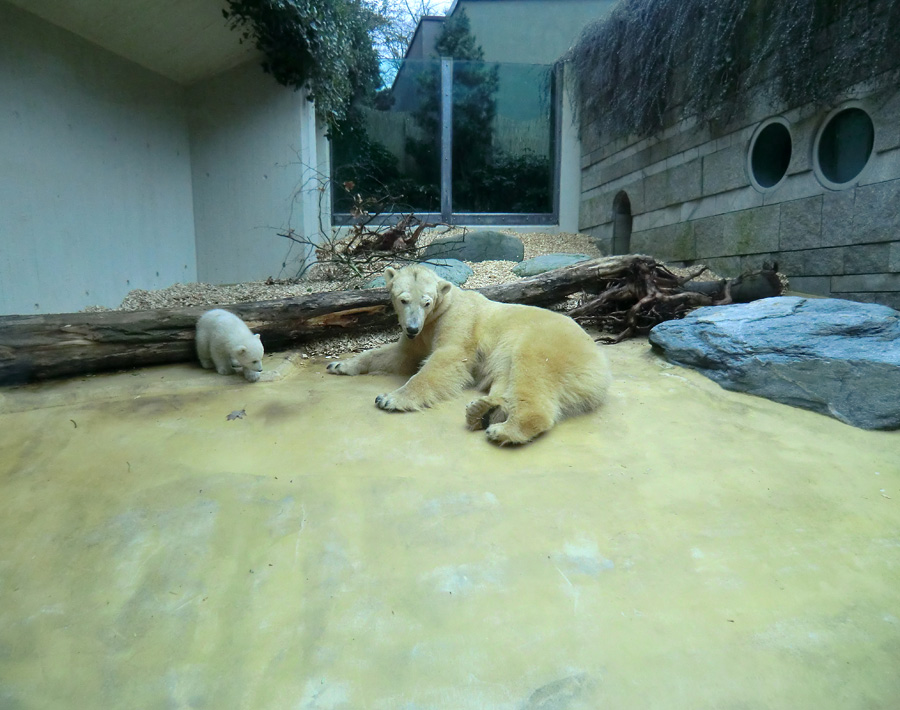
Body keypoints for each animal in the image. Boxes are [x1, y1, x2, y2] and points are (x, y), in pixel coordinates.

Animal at [326, 264, 612, 448]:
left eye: (426, 302)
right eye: (403, 299)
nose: (412, 327)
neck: (443, 306)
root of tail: (599, 362)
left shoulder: (457, 322)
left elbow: (446, 359)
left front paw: (391, 398)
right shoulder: (420, 336)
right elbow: (397, 356)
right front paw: (340, 364)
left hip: (547, 343)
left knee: (531, 373)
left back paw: (502, 429)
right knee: (505, 378)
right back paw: (483, 411)